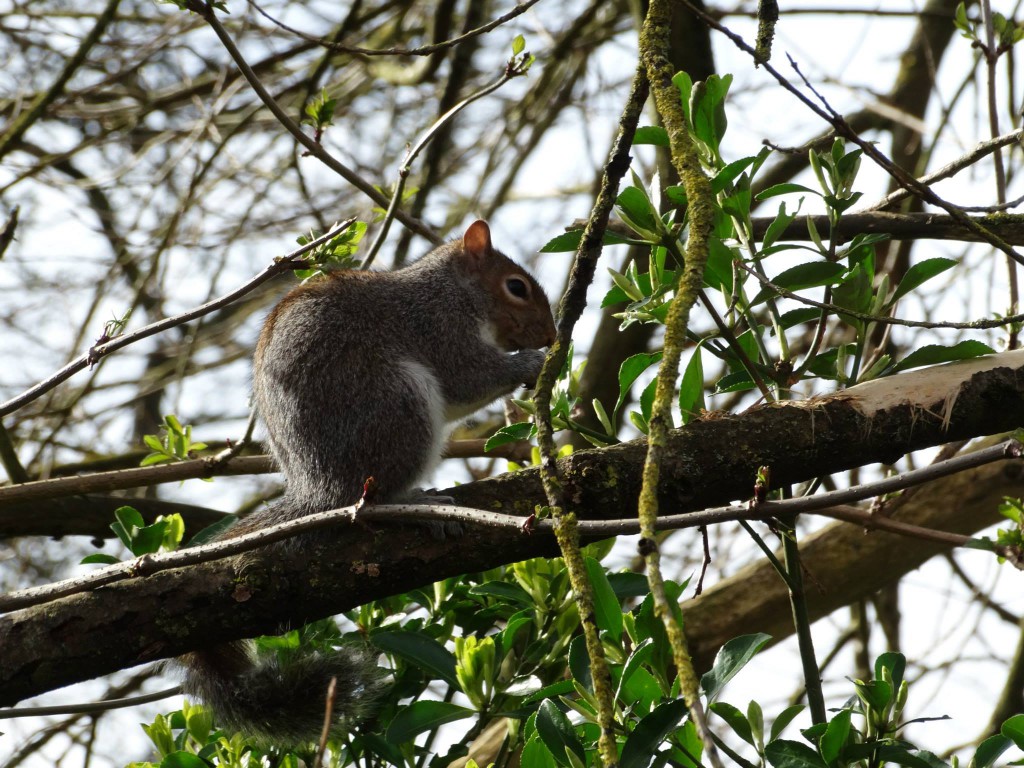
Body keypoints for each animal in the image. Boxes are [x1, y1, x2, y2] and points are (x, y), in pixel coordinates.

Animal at [180, 219, 557, 749]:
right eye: (517, 287)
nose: (552, 332)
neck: (450, 289)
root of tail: (320, 490)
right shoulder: (439, 328)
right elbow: (467, 378)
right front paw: (533, 362)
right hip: (396, 404)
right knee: (380, 497)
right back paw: (419, 507)